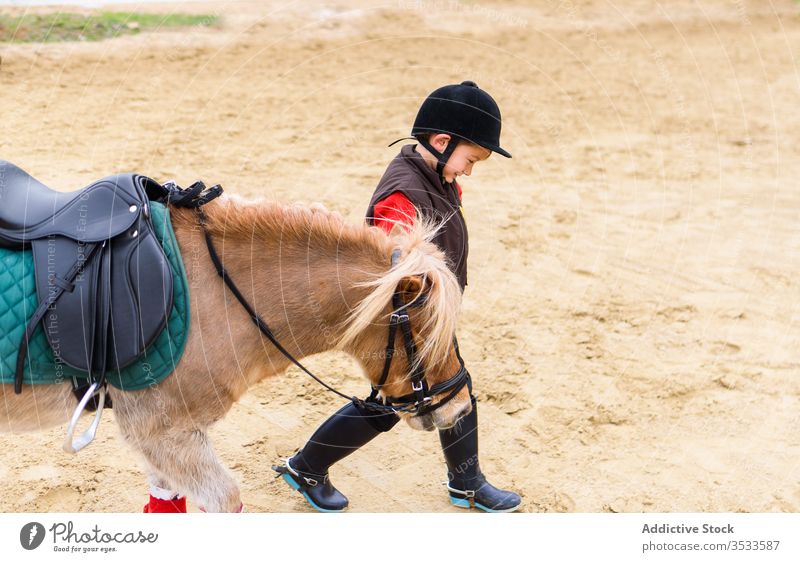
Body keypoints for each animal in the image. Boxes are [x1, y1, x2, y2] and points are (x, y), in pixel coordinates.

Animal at [0, 195, 472, 510]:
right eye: (428, 333)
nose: (462, 408)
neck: (214, 290)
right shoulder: (165, 433)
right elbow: (226, 499)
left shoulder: (166, 443)